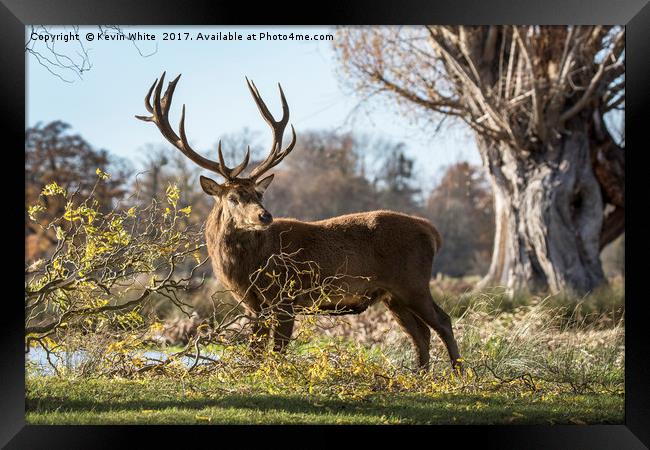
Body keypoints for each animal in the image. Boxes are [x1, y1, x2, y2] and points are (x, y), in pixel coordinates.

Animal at [137, 72, 460, 370]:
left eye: (258, 193)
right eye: (233, 197)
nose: (264, 215)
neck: (245, 270)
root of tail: (433, 232)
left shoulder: (285, 298)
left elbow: (277, 353)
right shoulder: (253, 305)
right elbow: (255, 352)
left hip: (412, 282)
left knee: (442, 322)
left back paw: (458, 374)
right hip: (391, 295)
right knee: (420, 333)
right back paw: (421, 376)